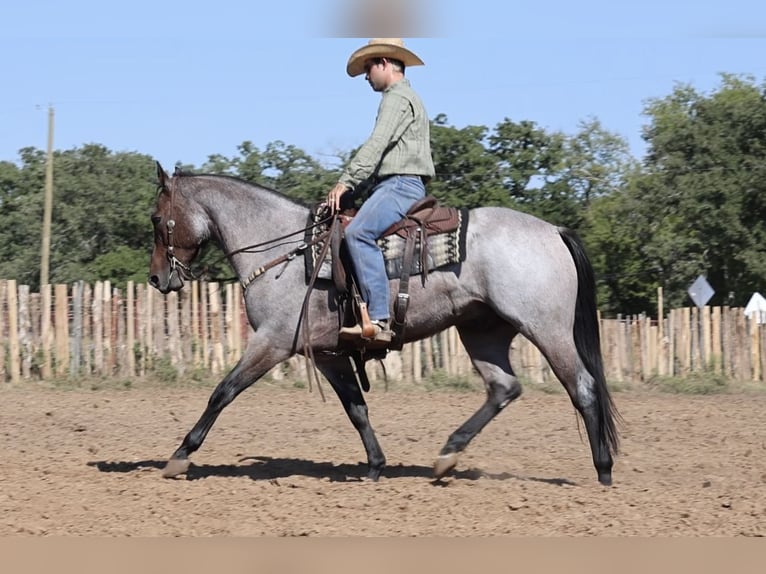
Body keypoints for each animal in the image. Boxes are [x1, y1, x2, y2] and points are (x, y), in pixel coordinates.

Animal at [148, 162, 620, 485]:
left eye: (156, 219)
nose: (156, 278)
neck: (287, 252)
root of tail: (554, 231)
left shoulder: (272, 343)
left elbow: (222, 392)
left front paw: (180, 456)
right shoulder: (328, 355)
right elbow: (356, 408)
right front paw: (375, 466)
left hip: (547, 329)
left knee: (582, 386)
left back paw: (603, 470)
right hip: (482, 330)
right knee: (504, 387)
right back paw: (447, 456)